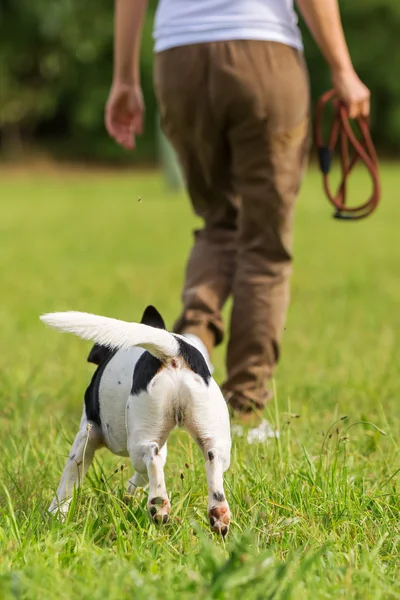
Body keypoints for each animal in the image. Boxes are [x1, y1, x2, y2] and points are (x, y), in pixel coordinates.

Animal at [40, 308, 231, 536]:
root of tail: (174, 348)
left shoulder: (86, 436)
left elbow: (67, 483)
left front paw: (55, 517)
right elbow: (141, 479)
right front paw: (129, 497)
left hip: (137, 445)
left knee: (151, 456)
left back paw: (159, 504)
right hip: (213, 439)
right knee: (212, 459)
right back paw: (218, 513)